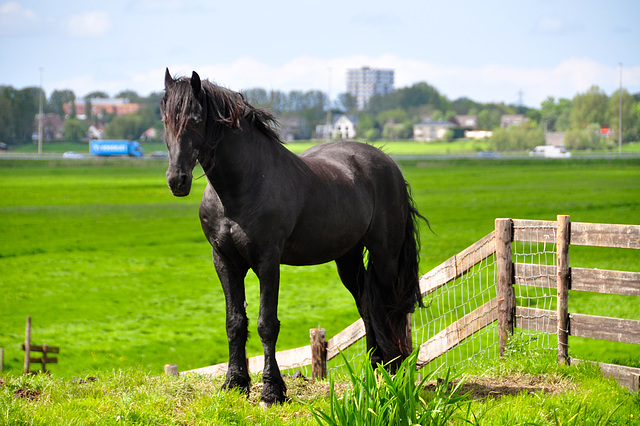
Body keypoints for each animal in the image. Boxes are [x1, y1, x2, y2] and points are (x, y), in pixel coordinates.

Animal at [161, 70, 424, 406]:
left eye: (195, 118)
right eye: (165, 119)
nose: (177, 180)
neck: (241, 188)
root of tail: (388, 163)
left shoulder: (268, 261)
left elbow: (266, 324)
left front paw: (272, 391)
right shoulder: (224, 261)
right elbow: (235, 322)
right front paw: (234, 383)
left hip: (385, 254)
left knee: (393, 307)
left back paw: (396, 372)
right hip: (348, 258)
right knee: (367, 305)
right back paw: (372, 371)